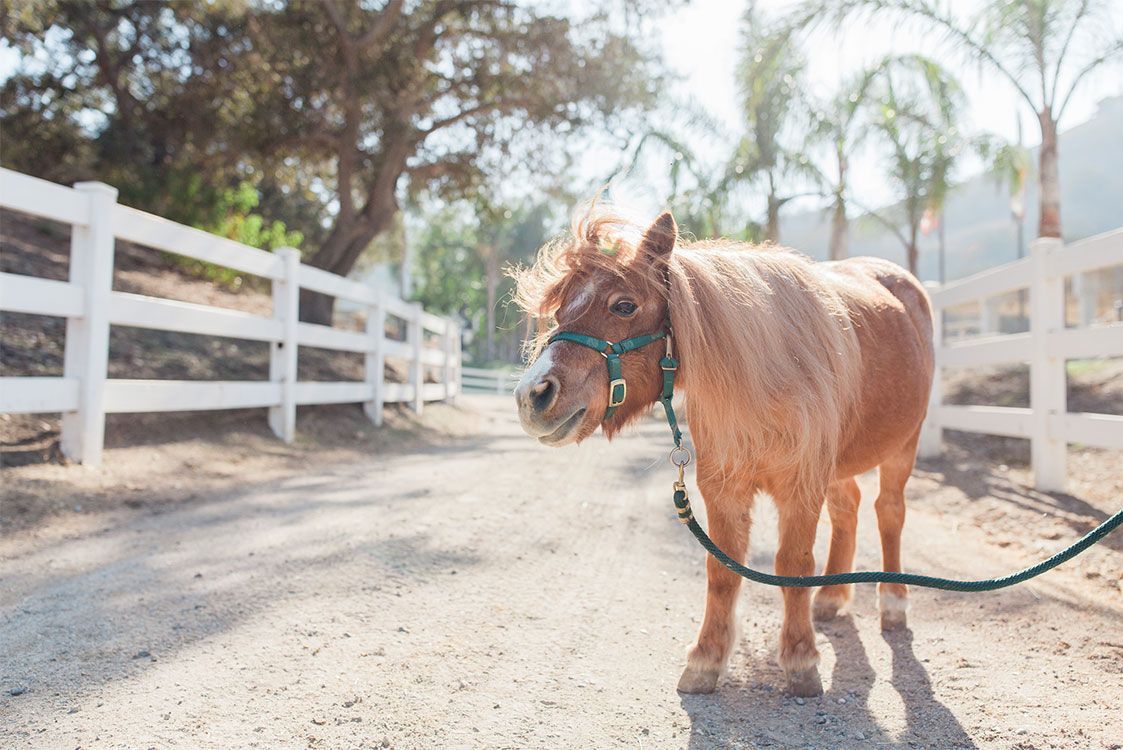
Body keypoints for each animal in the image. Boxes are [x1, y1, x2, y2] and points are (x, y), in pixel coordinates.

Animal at [511, 205, 934, 697]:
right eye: (561, 309)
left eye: (624, 305)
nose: (532, 396)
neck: (766, 383)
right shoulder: (724, 490)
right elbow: (722, 572)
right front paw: (706, 659)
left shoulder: (801, 488)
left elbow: (792, 565)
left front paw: (800, 659)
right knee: (849, 508)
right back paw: (830, 598)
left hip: (904, 446)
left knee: (889, 512)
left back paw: (893, 603)